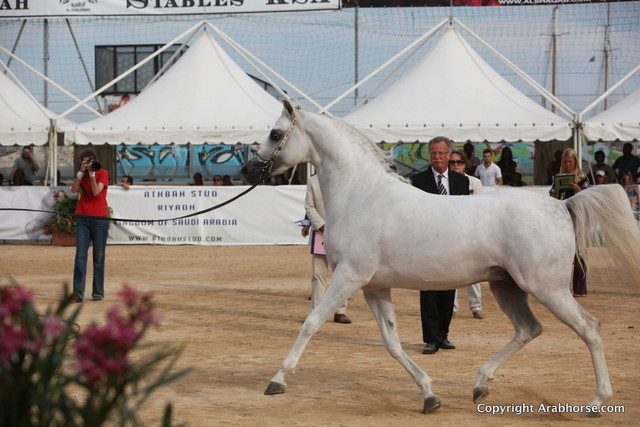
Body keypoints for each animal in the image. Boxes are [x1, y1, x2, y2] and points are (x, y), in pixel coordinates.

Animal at [241, 100, 640, 415]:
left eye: (276, 133)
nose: (248, 170)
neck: (360, 194)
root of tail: (562, 205)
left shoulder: (349, 278)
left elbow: (311, 323)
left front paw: (277, 380)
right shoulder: (373, 288)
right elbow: (392, 343)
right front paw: (429, 395)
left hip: (547, 287)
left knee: (590, 328)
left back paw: (597, 402)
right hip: (507, 286)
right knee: (530, 329)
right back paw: (480, 385)